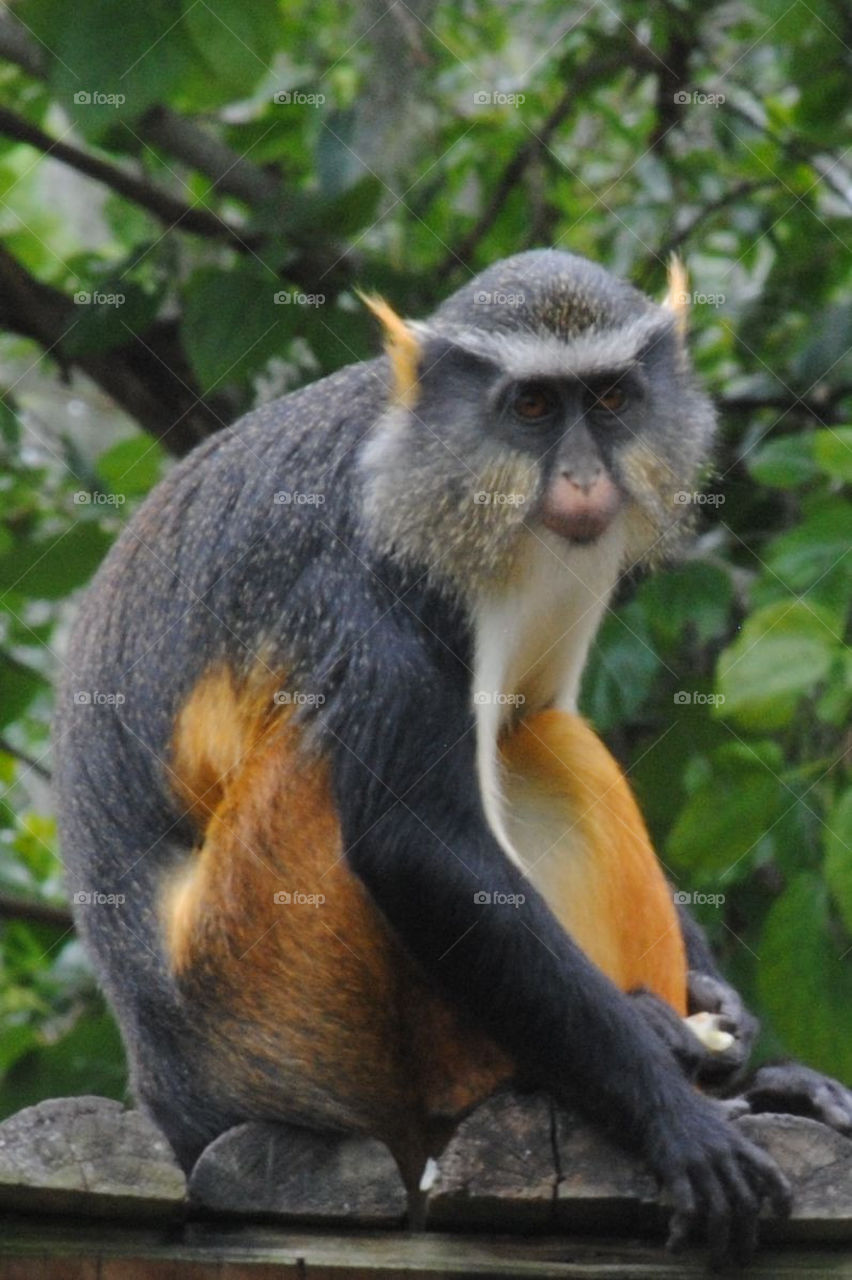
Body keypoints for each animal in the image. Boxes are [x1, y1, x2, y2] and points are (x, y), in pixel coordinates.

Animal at [54, 249, 850, 1264]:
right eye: (534, 408)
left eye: (609, 398)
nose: (583, 476)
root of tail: (174, 1095)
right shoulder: (372, 579)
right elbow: (421, 849)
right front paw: (680, 1118)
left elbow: (536, 717)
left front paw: (725, 1014)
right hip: (272, 984)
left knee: (542, 738)